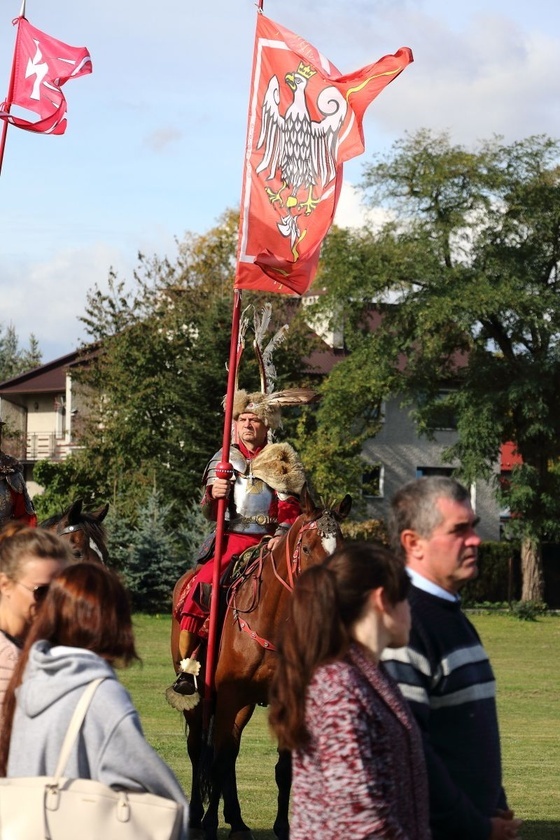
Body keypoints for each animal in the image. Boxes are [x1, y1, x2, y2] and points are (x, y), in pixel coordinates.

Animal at [170, 486, 350, 840]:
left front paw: (283, 827)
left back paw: (238, 822)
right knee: (200, 750)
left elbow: (284, 767)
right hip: (202, 699)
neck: (272, 622)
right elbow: (218, 757)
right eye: (306, 547)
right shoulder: (227, 697)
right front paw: (210, 824)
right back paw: (198, 816)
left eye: (342, 547)